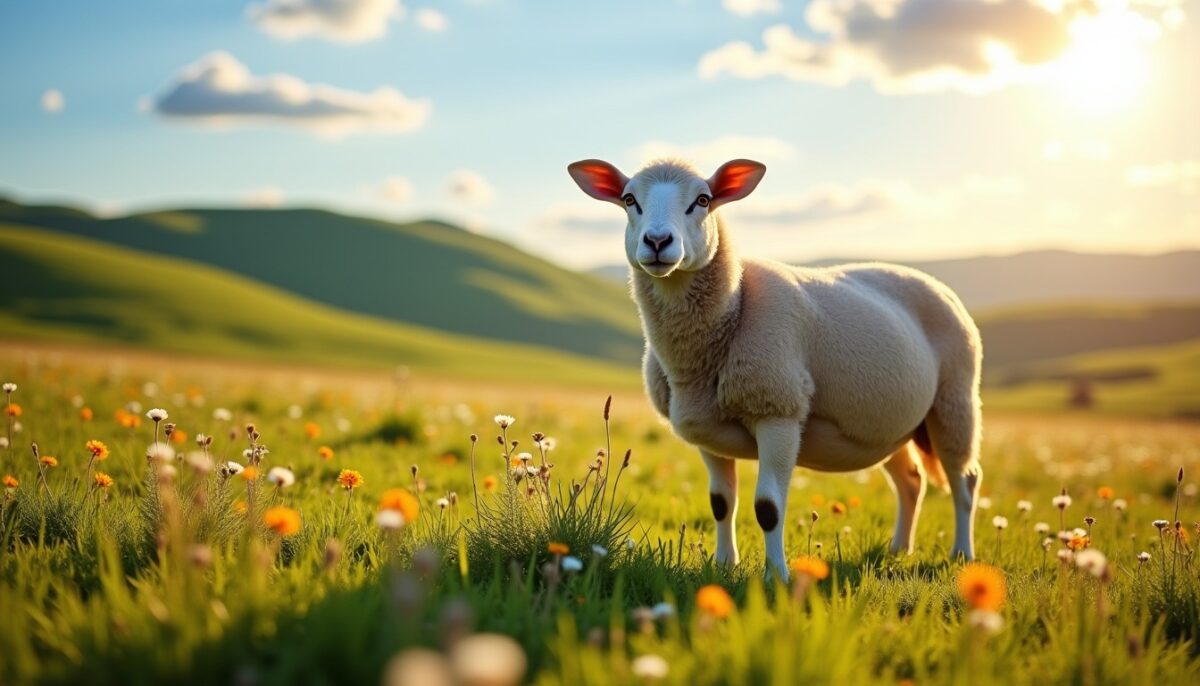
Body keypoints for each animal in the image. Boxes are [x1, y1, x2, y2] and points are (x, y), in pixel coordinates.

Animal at [567, 157, 983, 580]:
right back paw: (900, 548)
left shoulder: (778, 412)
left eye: (703, 200)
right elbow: (721, 503)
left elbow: (768, 508)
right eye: (628, 199)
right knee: (911, 480)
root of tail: (938, 286)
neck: (734, 306)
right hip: (886, 423)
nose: (656, 242)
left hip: (955, 400)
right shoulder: (707, 433)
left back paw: (961, 553)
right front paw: (723, 564)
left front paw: (777, 577)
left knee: (965, 480)